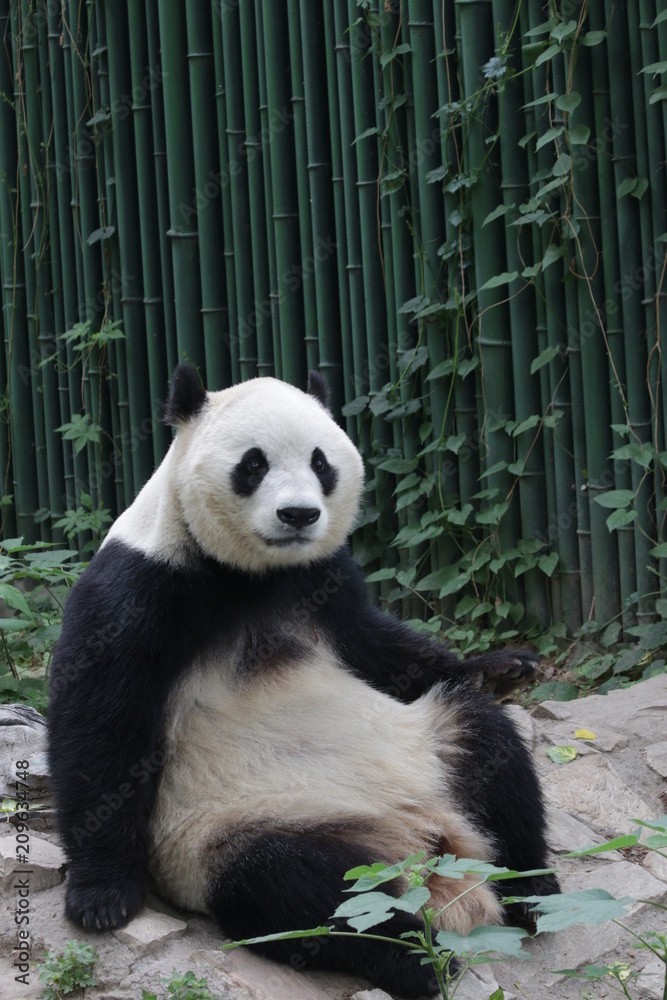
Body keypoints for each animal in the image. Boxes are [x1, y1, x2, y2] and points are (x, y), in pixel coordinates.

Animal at [48, 364, 557, 999]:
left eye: (321, 462)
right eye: (253, 464)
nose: (299, 515)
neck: (252, 573)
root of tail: (424, 850)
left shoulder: (325, 578)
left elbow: (382, 650)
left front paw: (507, 666)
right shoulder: (140, 585)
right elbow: (99, 725)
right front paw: (101, 898)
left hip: (433, 749)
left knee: (491, 749)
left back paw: (533, 894)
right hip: (235, 831)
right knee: (302, 887)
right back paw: (418, 958)